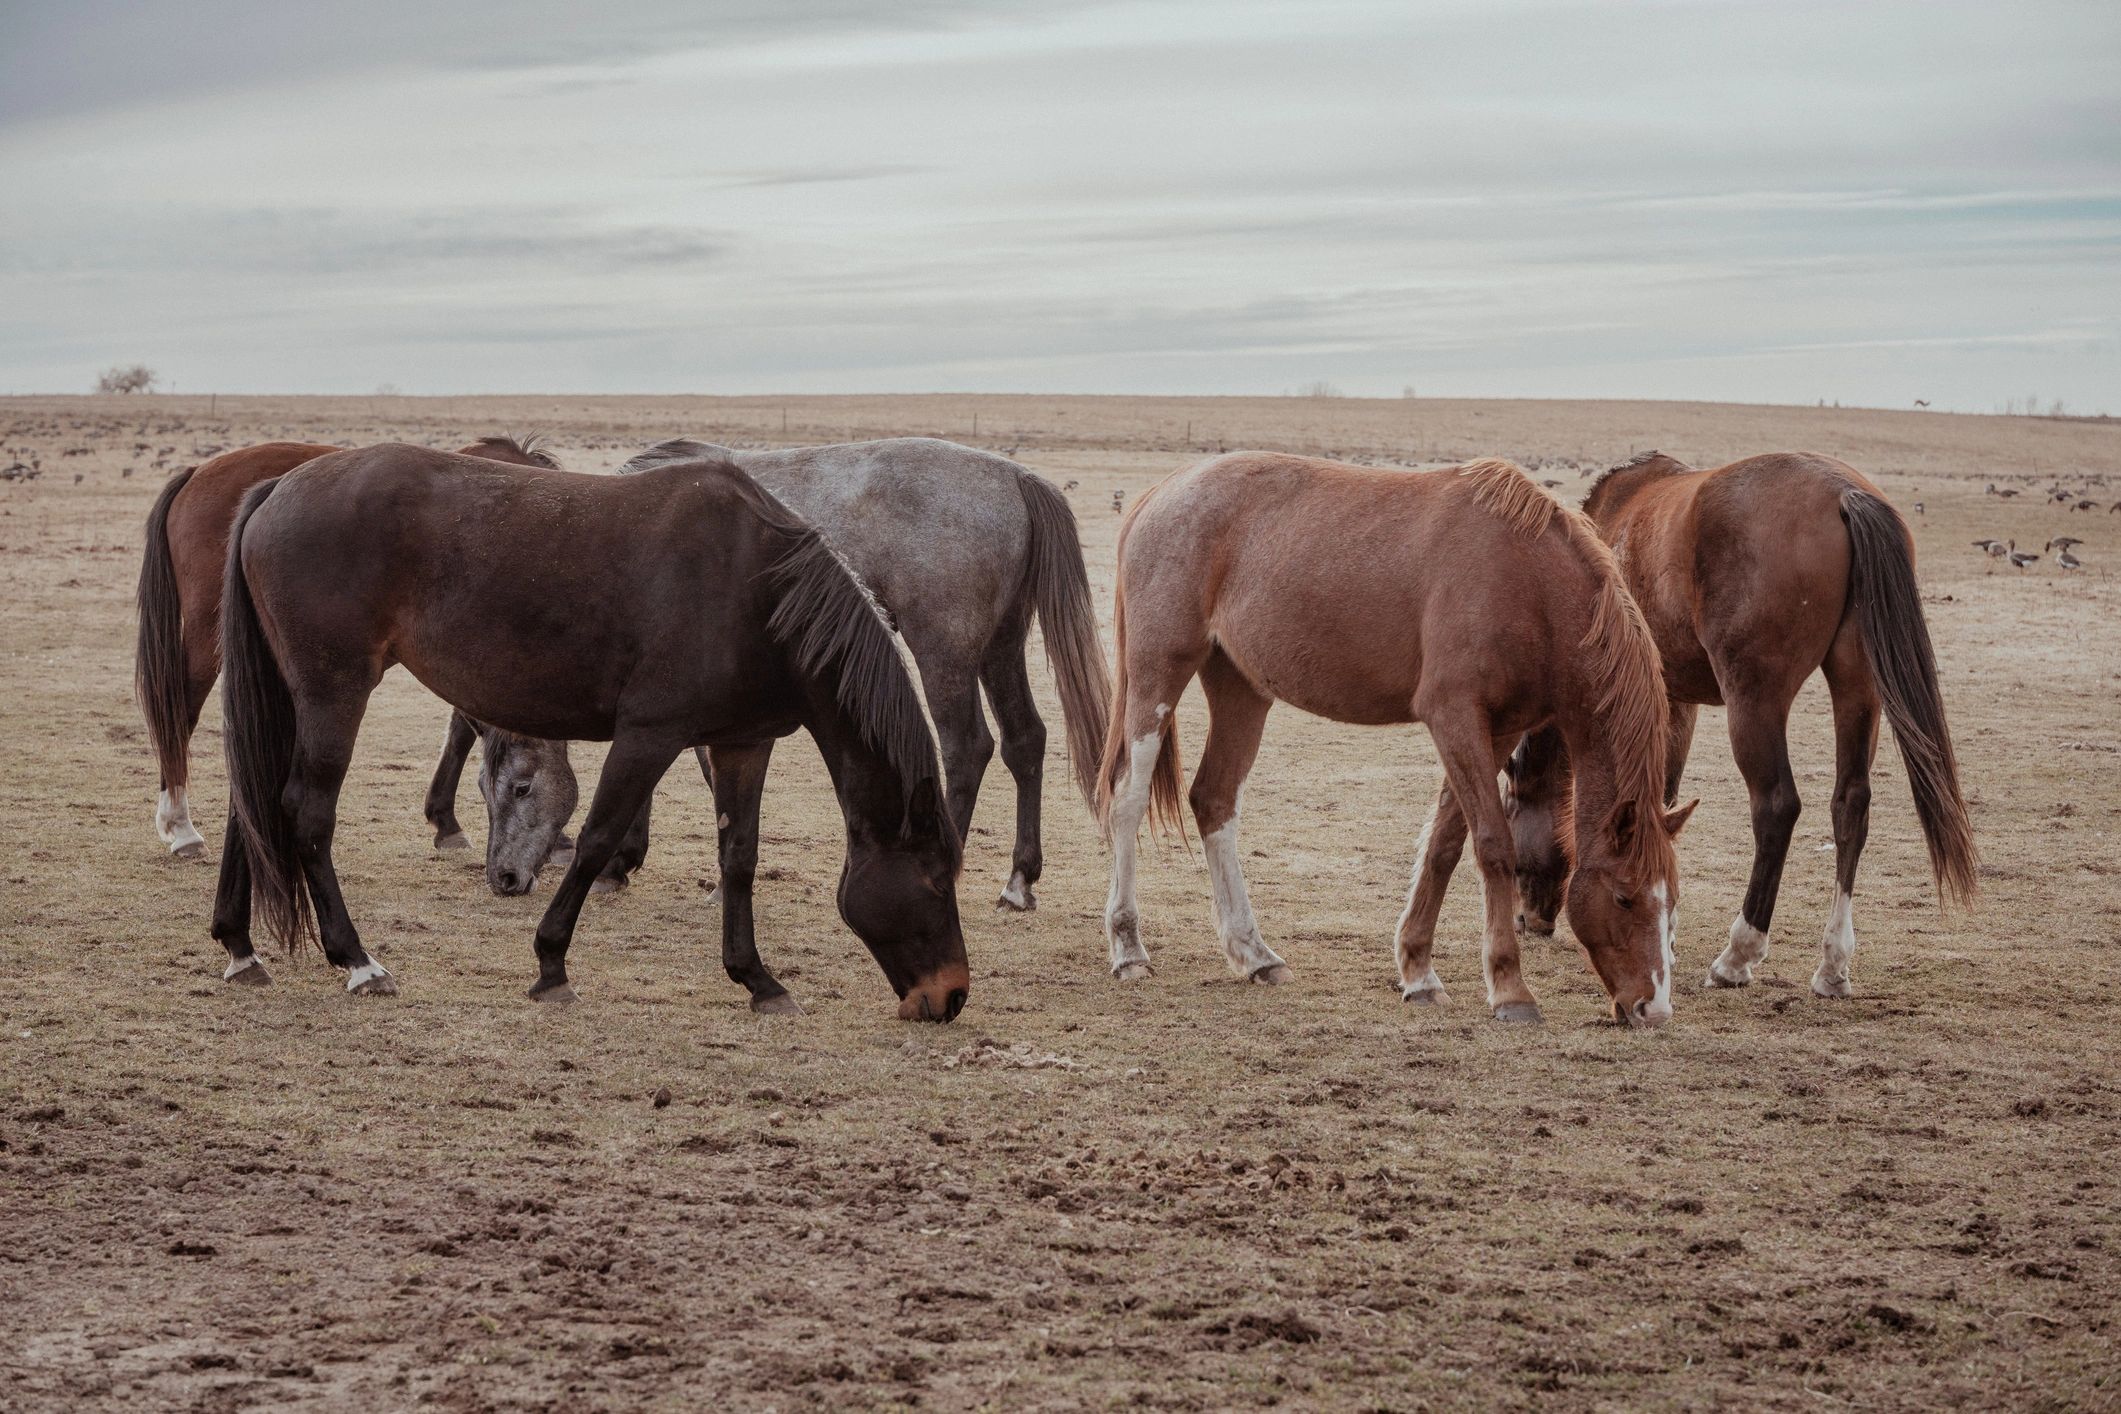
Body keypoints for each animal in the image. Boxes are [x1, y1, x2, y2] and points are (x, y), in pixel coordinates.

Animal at [134, 434, 560, 857]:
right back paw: (182, 827)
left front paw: (447, 821)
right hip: (209, 635)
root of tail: (195, 475)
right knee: (180, 712)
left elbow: (463, 729)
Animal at [211, 443, 969, 1022]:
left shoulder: (741, 744)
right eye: (936, 881)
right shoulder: (649, 735)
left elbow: (739, 858)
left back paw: (240, 948)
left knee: (252, 805)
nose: (952, 995)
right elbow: (599, 837)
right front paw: (551, 964)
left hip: (290, 696)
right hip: (332, 694)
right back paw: (358, 960)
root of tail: (277, 488)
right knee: (306, 813)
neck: (759, 588)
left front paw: (757, 978)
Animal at [436, 436, 1109, 913]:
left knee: (966, 748)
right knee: (1026, 741)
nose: (504, 878)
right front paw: (625, 861)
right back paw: (1019, 880)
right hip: (1000, 648)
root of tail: (1016, 477)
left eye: (520, 787)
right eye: (483, 789)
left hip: (944, 650)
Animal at [1096, 453, 1694, 1028]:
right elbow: (1492, 846)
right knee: (1127, 799)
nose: (1654, 1008)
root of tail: (1162, 492)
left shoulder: (1497, 730)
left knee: (1214, 801)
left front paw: (1419, 972)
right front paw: (1509, 989)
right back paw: (1129, 949)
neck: (1527, 581)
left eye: (1672, 904)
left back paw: (1255, 955)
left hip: (1241, 688)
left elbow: (1444, 845)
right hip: (1158, 675)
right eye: (1624, 897)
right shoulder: (1454, 717)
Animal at [1505, 452, 1976, 999]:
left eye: (1512, 809)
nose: (1528, 920)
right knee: (1850, 805)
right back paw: (1832, 964)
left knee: (1776, 808)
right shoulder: (1674, 699)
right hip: (1858, 689)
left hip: (1754, 701)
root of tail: (1842, 493)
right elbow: (1663, 800)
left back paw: (1737, 955)